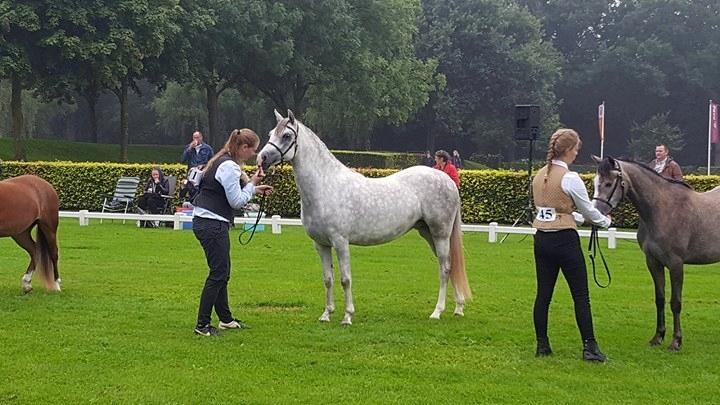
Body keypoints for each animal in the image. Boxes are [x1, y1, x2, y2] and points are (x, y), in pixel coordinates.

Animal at [257, 110, 471, 325]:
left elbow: (345, 279)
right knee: (451, 266)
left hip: (440, 234)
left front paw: (347, 316)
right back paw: (459, 308)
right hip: (428, 233)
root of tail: (447, 181)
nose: (262, 158)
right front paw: (326, 314)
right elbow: (328, 279)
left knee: (444, 269)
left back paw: (437, 311)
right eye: (270, 133)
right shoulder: (321, 244)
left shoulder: (340, 242)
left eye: (287, 136)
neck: (325, 186)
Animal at [592, 155, 720, 351]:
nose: (595, 213)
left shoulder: (676, 264)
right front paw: (658, 337)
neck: (662, 210)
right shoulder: (653, 262)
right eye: (594, 182)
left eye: (608, 183)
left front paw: (676, 341)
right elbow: (659, 299)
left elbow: (675, 302)